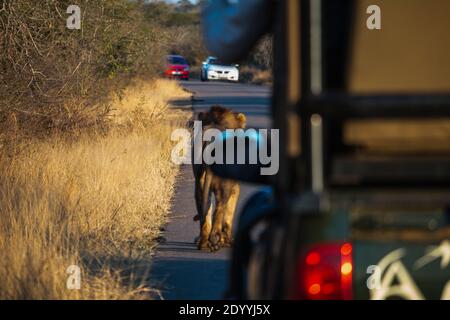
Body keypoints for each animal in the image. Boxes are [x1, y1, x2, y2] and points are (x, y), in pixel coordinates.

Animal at [192, 106, 248, 251]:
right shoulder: (234, 186)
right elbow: (229, 213)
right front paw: (227, 240)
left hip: (199, 181)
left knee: (205, 209)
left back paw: (204, 243)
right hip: (224, 185)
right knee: (219, 208)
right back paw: (215, 240)